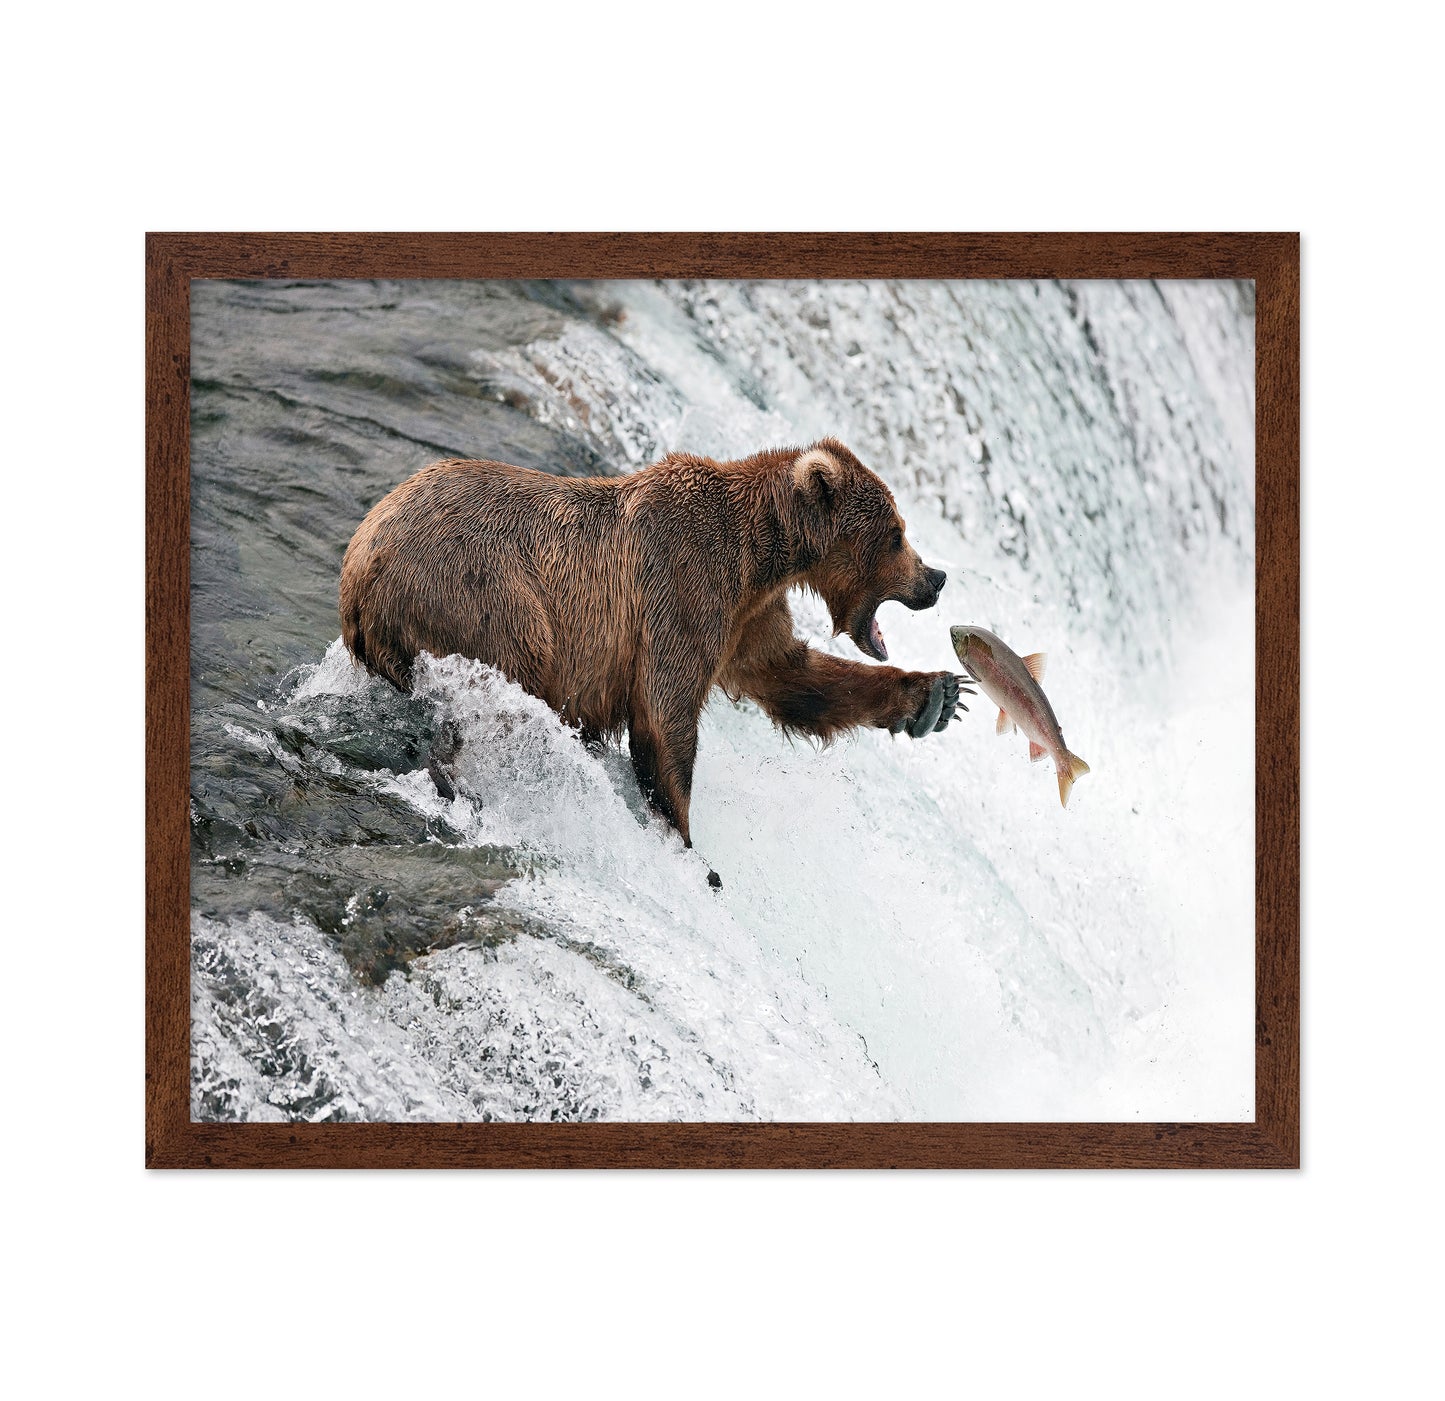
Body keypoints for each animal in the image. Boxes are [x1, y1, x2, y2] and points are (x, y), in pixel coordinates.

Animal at [339, 438, 965, 849]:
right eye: (896, 534)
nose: (935, 578)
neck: (761, 555)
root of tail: (361, 562)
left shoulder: (747, 618)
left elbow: (792, 677)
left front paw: (936, 696)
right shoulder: (685, 588)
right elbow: (666, 717)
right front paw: (686, 842)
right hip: (485, 596)